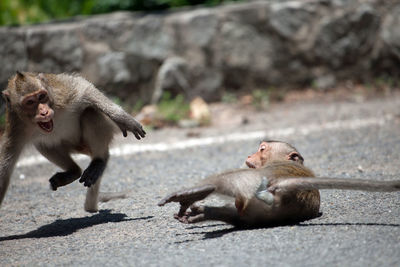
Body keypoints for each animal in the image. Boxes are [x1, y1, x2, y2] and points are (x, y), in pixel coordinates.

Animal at [159, 141, 400, 227]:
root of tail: (285, 186)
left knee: (225, 181)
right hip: (260, 209)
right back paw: (205, 212)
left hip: (252, 182)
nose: (249, 155)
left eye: (262, 149)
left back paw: (194, 194)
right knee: (240, 216)